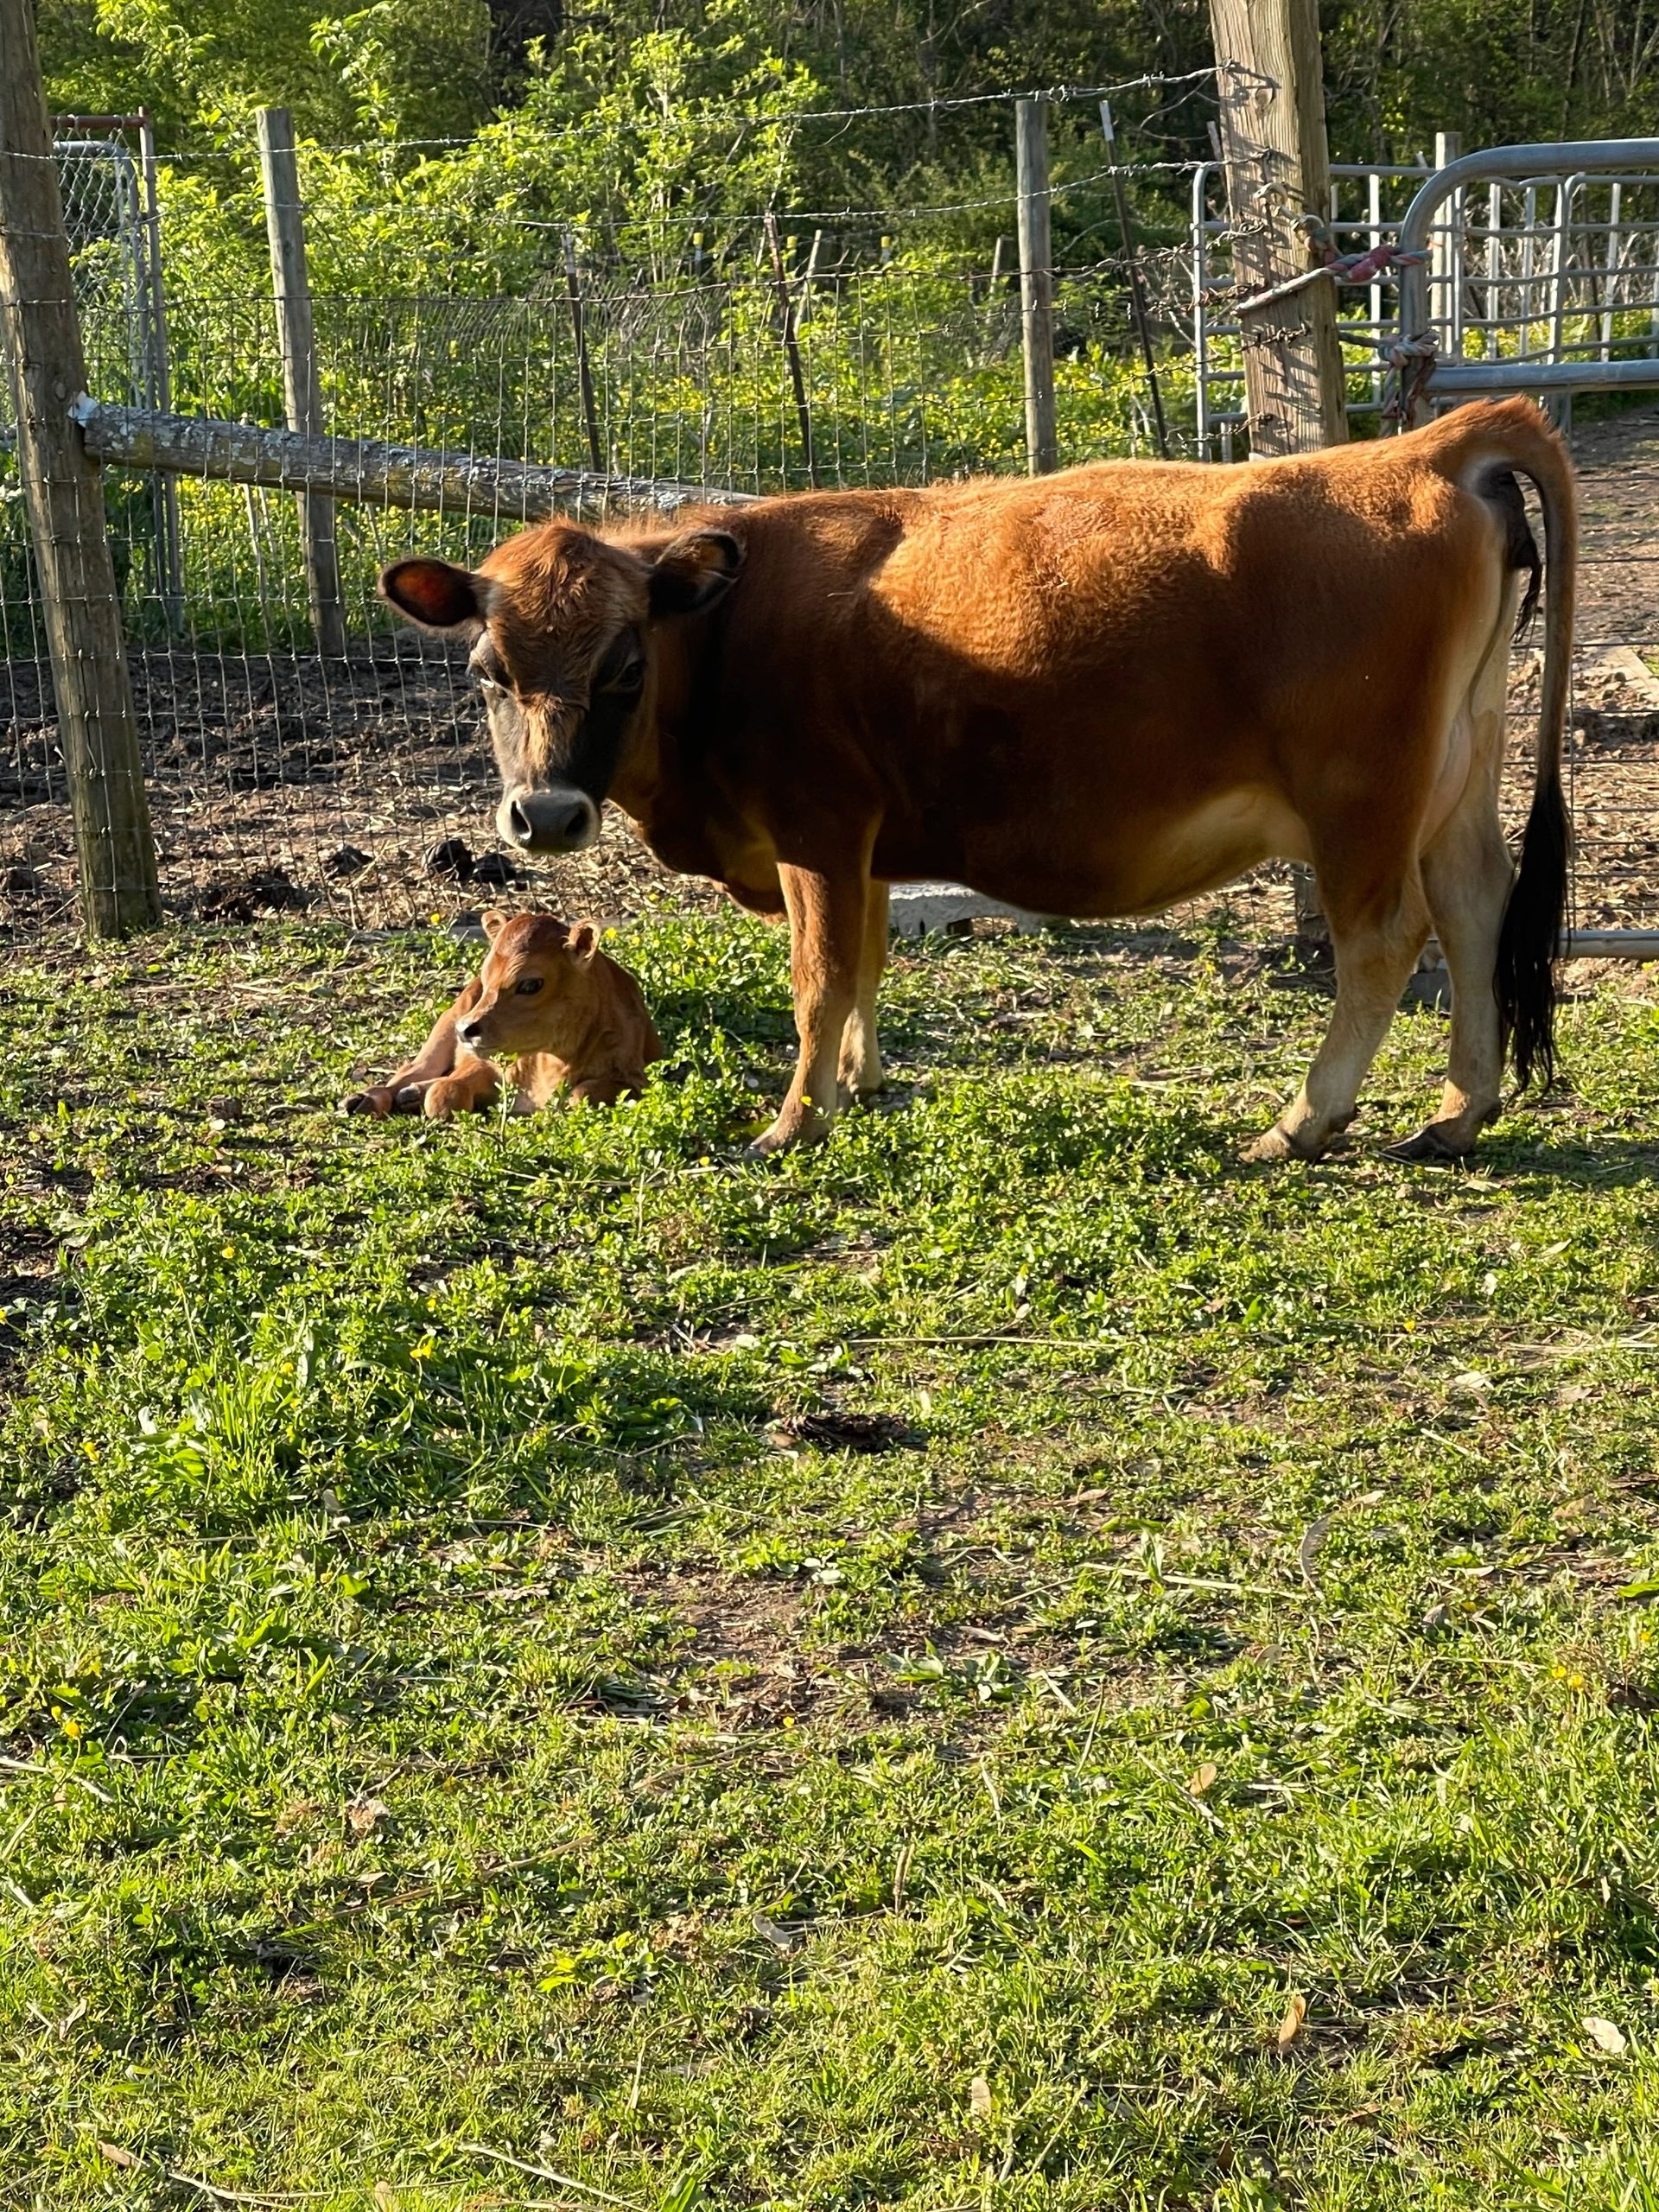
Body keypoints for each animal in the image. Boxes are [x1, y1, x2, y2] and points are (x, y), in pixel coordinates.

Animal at [344, 909, 661, 1119]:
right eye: (487, 977)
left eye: (531, 984)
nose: (466, 1030)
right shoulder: (486, 1063)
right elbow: (447, 1091)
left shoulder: (636, 1079)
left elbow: (581, 1094)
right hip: (448, 1020)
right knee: (413, 1069)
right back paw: (366, 1099)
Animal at [376, 396, 1575, 1162]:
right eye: (486, 671)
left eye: (624, 667)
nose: (543, 813)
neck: (726, 633)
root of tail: (1419, 450)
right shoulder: (862, 844)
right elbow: (863, 965)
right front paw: (859, 1085)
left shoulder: (817, 827)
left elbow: (818, 979)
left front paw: (794, 1122)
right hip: (1458, 775)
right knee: (1476, 905)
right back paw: (1459, 1110)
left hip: (1360, 802)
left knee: (1385, 940)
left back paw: (1302, 1121)